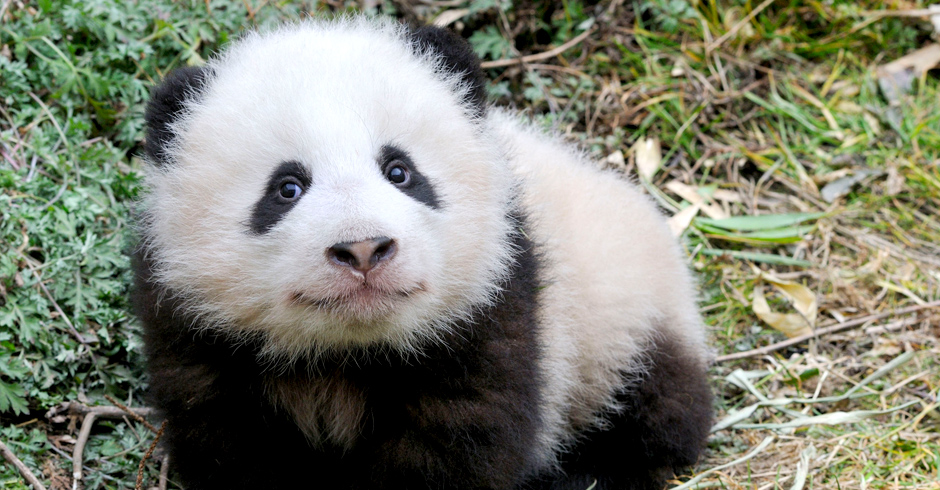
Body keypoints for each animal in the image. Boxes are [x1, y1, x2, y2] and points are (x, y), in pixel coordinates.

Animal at [135, 17, 712, 490]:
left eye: (400, 171)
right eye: (287, 188)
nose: (363, 248)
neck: (346, 353)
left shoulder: (493, 304)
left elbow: (459, 439)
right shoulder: (198, 332)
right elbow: (230, 441)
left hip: (621, 317)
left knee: (653, 415)